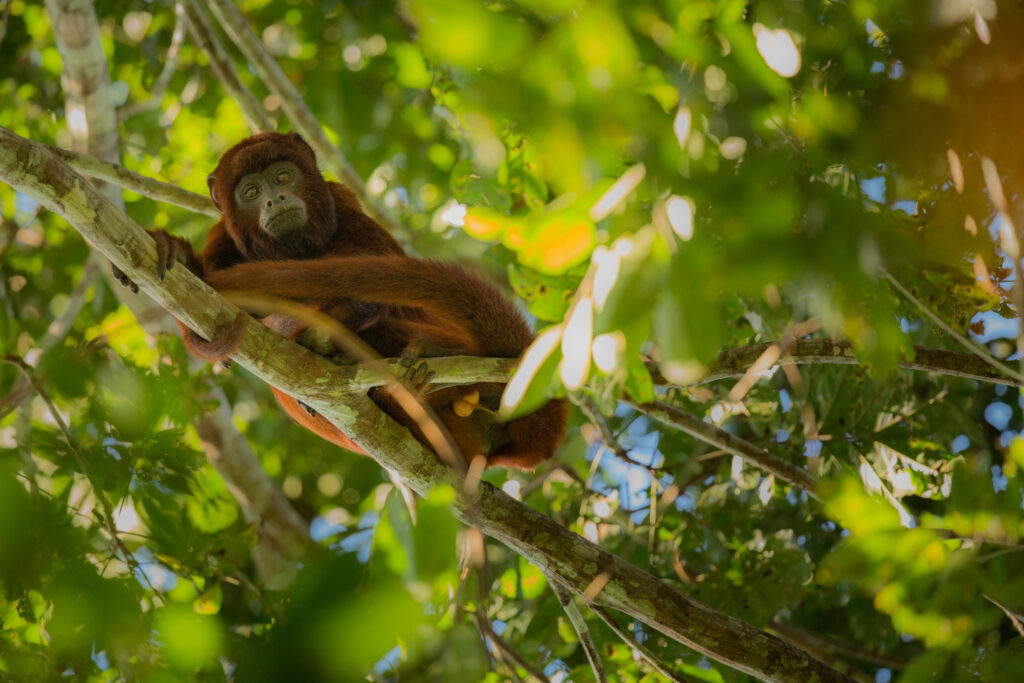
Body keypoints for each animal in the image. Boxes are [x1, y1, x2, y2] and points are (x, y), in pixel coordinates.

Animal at [140, 132, 565, 471]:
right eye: (251, 193)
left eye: (282, 176)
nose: (276, 199)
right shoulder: (222, 238)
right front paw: (179, 254)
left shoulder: (341, 199)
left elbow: (376, 273)